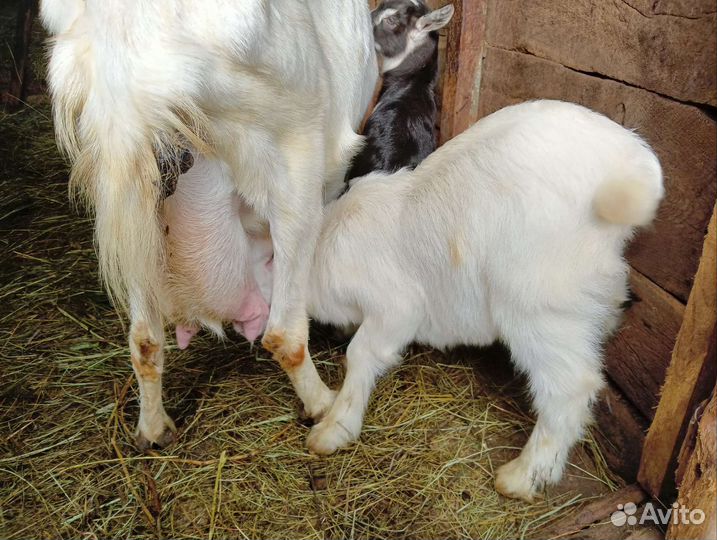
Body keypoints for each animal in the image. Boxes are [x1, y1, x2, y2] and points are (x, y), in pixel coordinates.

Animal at [41, 0, 378, 449]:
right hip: (295, 163)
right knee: (283, 333)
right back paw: (323, 405)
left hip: (127, 204)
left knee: (143, 340)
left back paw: (153, 429)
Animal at [305, 100, 664, 501]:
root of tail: (629, 163)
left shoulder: (397, 307)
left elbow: (361, 355)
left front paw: (334, 428)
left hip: (537, 306)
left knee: (570, 386)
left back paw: (523, 477)